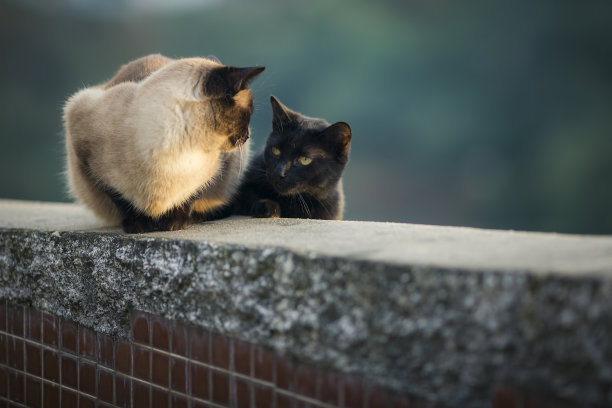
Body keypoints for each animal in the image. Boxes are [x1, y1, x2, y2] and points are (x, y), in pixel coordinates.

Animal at [65, 54, 266, 233]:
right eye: (248, 114)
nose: (247, 136)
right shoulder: (91, 165)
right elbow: (123, 202)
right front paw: (139, 226)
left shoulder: (217, 167)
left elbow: (190, 196)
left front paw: (175, 224)